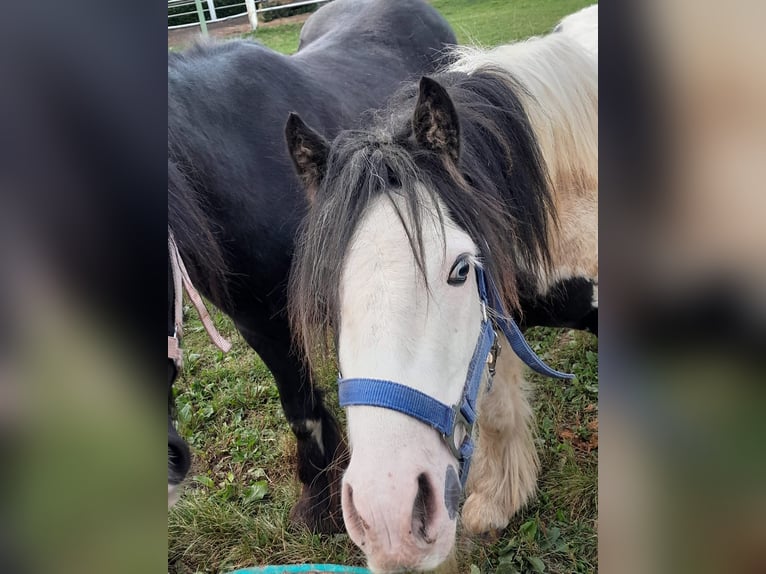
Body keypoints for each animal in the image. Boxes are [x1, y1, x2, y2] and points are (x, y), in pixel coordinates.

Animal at [288, 5, 600, 572]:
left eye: (459, 270)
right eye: (326, 297)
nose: (388, 518)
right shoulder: (498, 320)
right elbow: (497, 412)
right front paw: (497, 502)